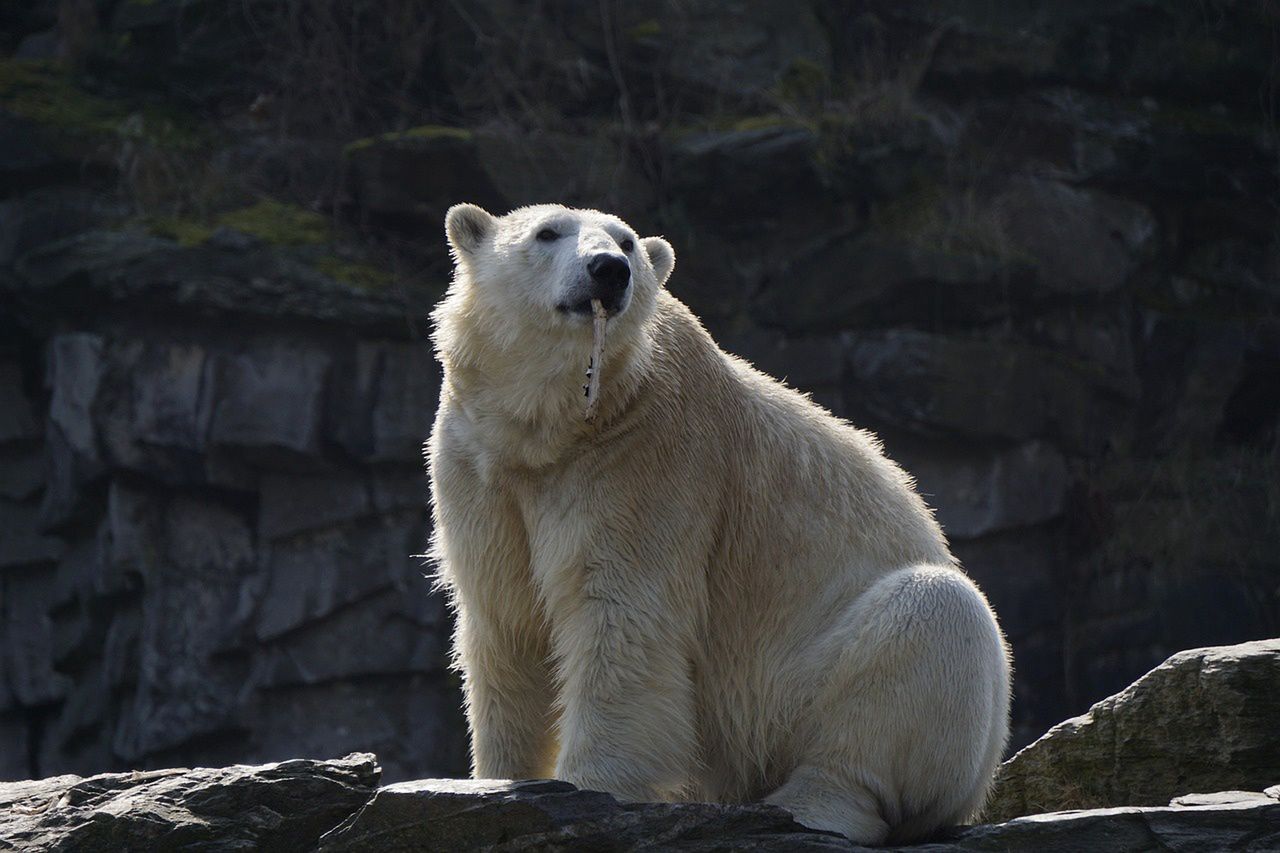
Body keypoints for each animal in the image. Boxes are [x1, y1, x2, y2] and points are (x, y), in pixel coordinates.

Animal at [427, 201, 1008, 845]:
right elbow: (505, 619)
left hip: (800, 687)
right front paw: (499, 781)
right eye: (547, 232)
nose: (608, 271)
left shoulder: (647, 457)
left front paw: (590, 787)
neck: (553, 429)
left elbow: (621, 616)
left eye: (627, 243)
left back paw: (809, 804)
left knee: (932, 619)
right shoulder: (479, 464)